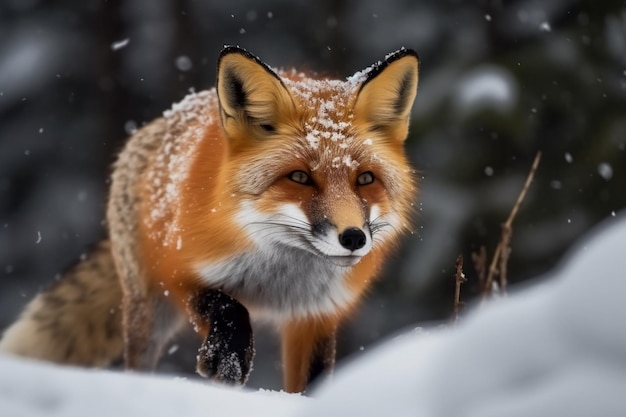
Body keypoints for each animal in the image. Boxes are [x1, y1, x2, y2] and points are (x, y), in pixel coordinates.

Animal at [1, 46, 420, 394]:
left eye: (365, 180)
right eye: (300, 177)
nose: (353, 238)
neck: (279, 281)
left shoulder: (316, 314)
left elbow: (312, 381)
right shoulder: (179, 268)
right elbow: (227, 306)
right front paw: (228, 359)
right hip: (146, 307)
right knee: (137, 364)